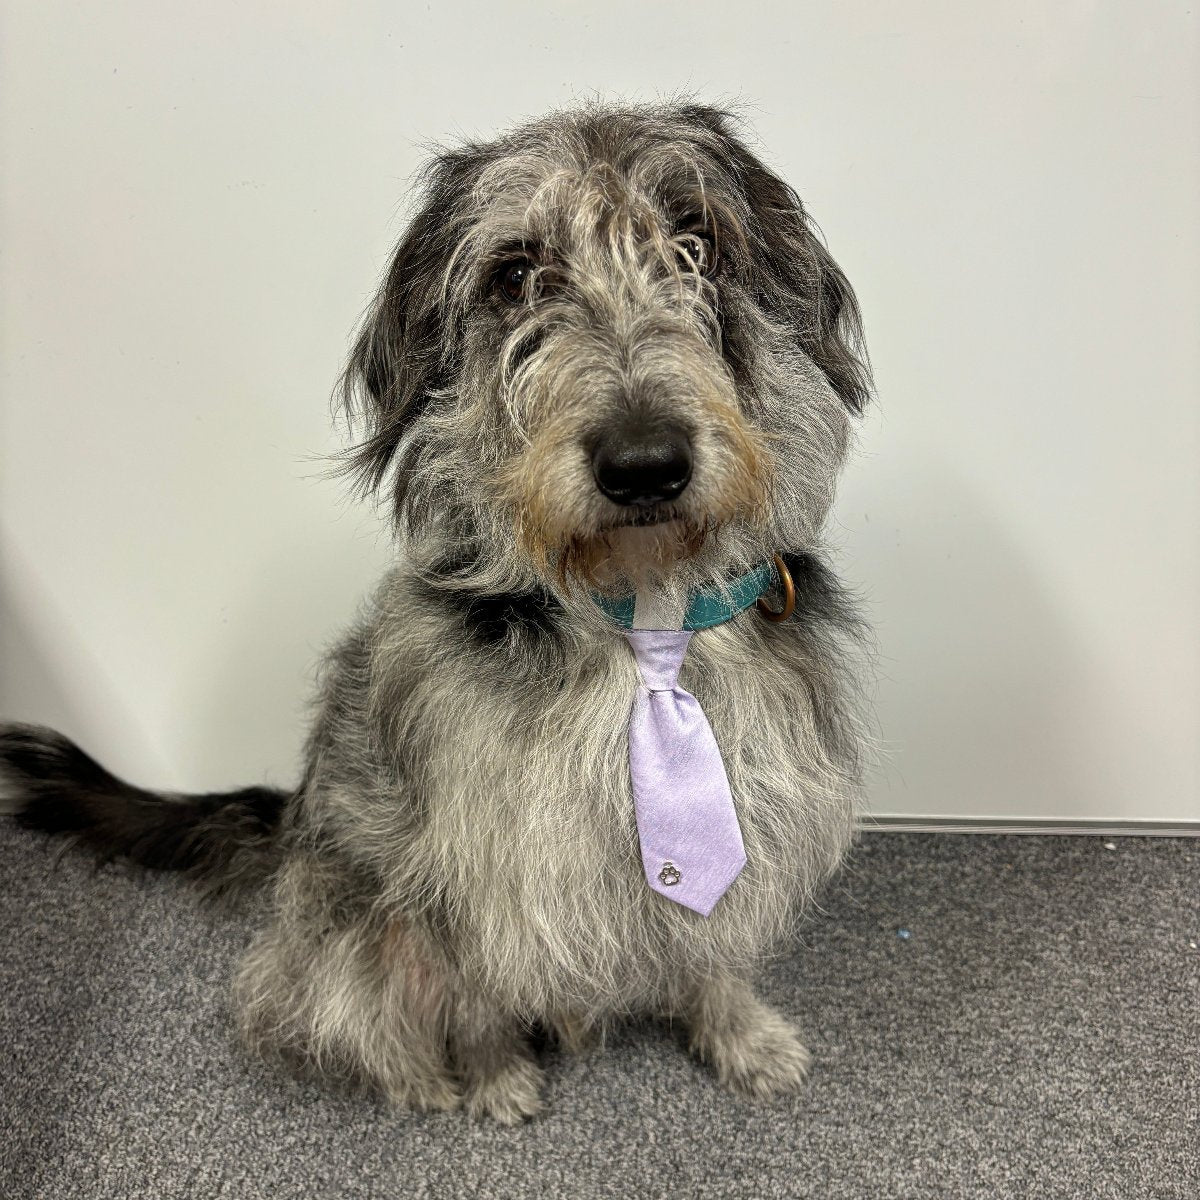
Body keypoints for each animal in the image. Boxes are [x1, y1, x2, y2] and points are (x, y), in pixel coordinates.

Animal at [0, 103, 873, 1123]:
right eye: (518, 275)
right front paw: (492, 1070)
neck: (638, 613)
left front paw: (738, 1030)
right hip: (345, 918)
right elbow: (471, 977)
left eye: (696, 242)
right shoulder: (465, 839)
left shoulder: (752, 798)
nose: (644, 464)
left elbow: (716, 940)